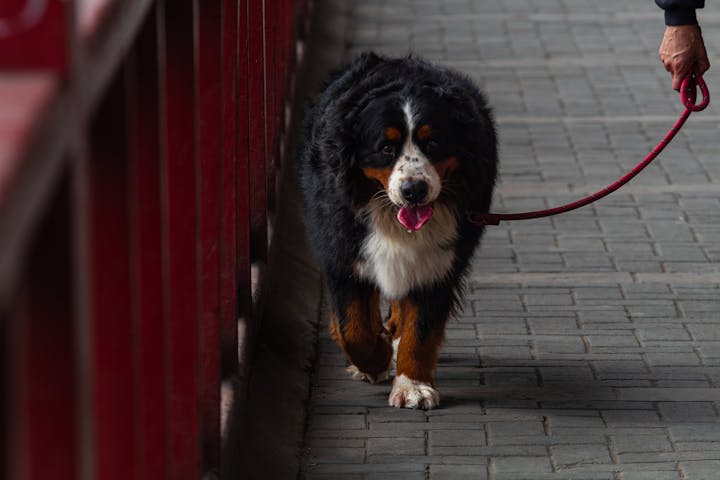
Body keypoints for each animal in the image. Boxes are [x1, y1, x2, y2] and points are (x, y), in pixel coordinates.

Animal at [296, 54, 496, 410]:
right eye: (386, 147)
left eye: (433, 142)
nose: (413, 190)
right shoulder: (342, 253)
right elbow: (352, 328)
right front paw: (376, 359)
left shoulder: (438, 262)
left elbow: (421, 329)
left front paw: (413, 385)